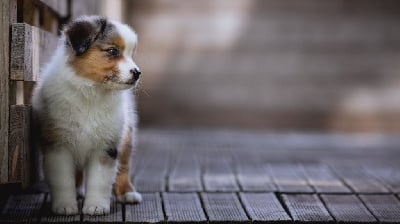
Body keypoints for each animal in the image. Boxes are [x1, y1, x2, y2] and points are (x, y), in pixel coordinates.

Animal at [32, 15, 142, 215]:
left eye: (132, 54)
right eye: (112, 51)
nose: (137, 73)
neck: (91, 92)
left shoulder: (106, 145)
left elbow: (100, 180)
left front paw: (96, 206)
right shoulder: (58, 144)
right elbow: (63, 179)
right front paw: (65, 206)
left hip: (127, 134)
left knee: (124, 166)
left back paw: (128, 193)